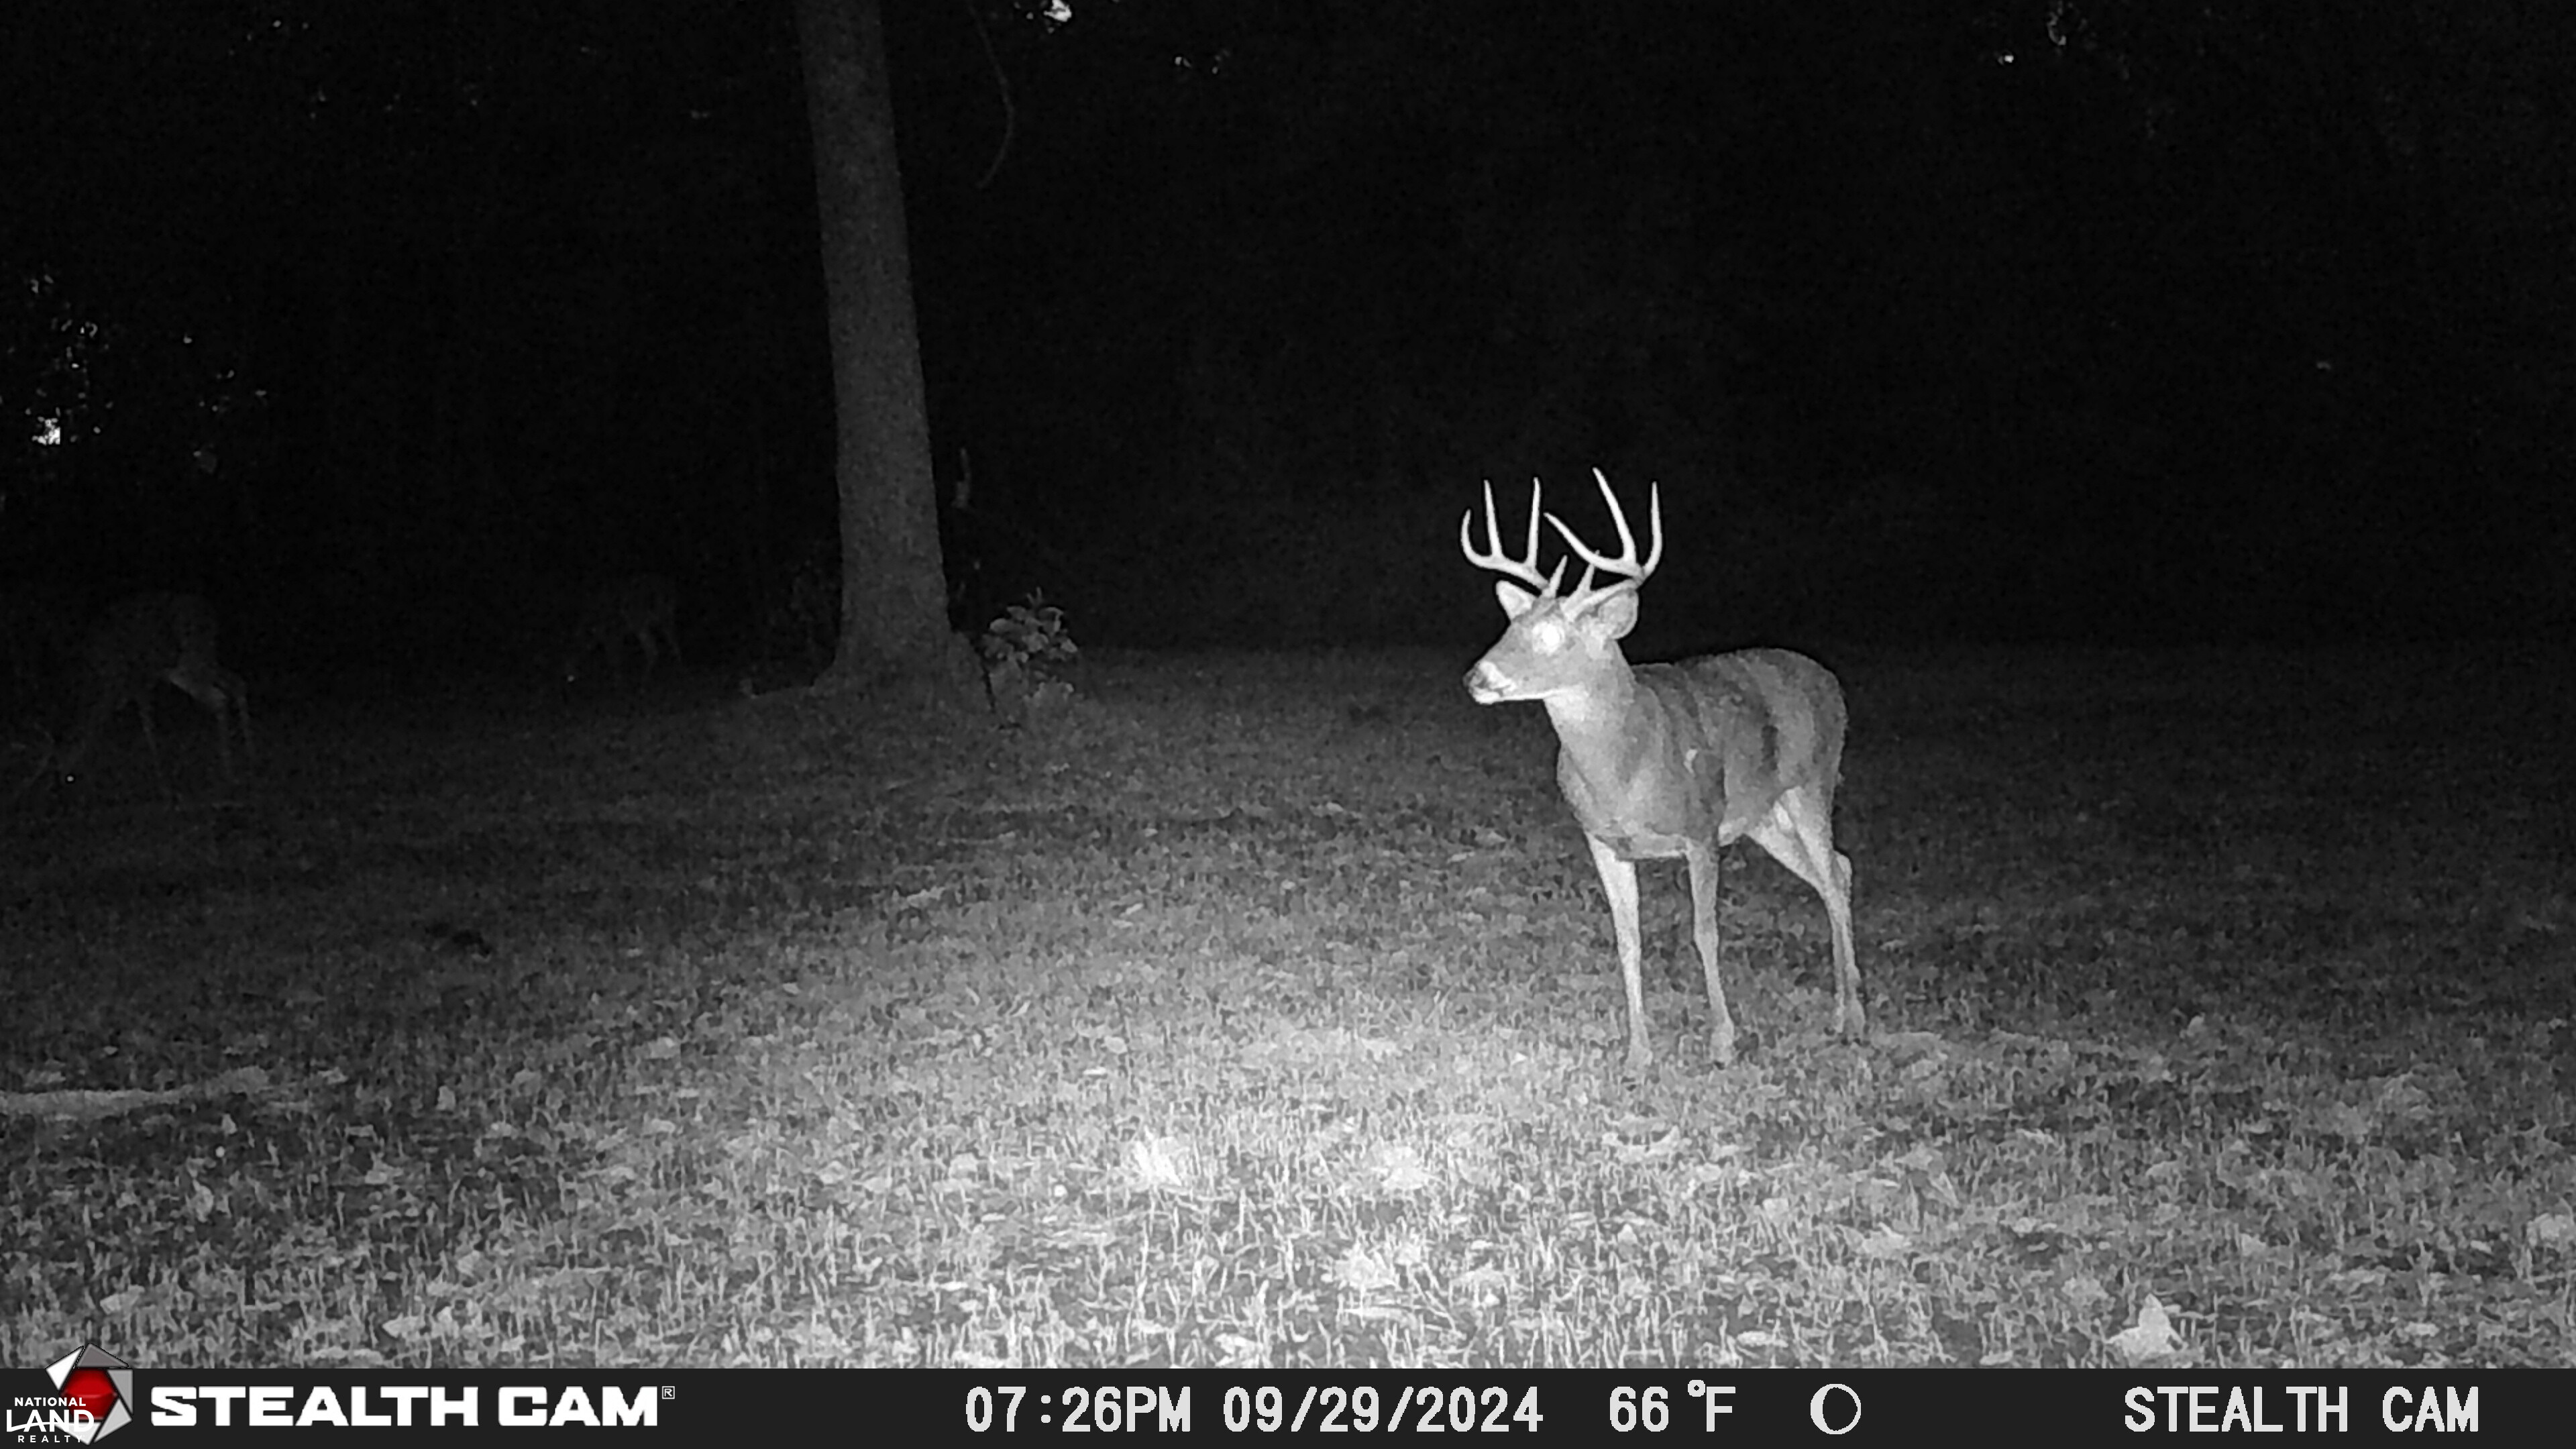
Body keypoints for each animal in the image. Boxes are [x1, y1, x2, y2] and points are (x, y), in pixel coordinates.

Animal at [55, 592, 254, 790]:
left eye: (69, 777)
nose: (60, 785)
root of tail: (210, 616)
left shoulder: (137, 683)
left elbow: (147, 725)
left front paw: (161, 779)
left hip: (190, 661)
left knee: (219, 699)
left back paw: (229, 773)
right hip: (200, 658)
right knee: (238, 682)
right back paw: (248, 752)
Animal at [559, 574, 683, 687]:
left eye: (571, 656)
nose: (566, 674)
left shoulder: (612, 635)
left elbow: (615, 660)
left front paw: (618, 683)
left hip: (647, 620)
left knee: (658, 648)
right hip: (660, 618)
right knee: (667, 643)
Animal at [1460, 469, 1862, 1069]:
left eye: (1553, 637)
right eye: (1511, 626)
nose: (1477, 678)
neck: (1625, 770)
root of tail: (1830, 681)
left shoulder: (1701, 828)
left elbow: (1705, 931)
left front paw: (1723, 1041)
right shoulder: (1602, 841)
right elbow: (1628, 938)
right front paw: (1638, 1054)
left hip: (1812, 783)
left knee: (1834, 878)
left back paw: (1852, 1017)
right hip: (1764, 818)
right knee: (1837, 869)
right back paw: (1842, 1007)